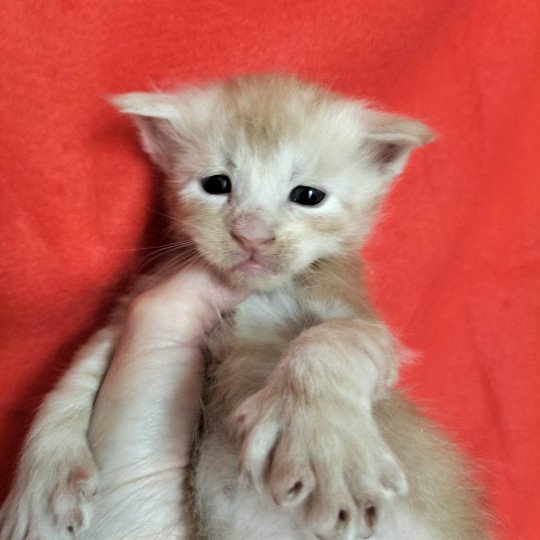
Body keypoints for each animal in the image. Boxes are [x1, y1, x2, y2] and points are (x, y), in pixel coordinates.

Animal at [0, 76, 488, 540]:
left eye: (308, 195)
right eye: (217, 184)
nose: (252, 234)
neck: (252, 295)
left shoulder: (354, 310)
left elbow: (334, 337)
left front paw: (318, 433)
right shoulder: (134, 306)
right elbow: (75, 375)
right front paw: (41, 483)